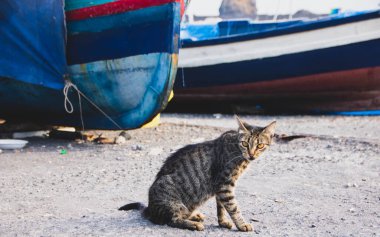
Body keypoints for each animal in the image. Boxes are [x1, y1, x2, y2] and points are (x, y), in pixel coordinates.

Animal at [119, 116, 276, 231]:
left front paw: (223, 222)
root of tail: (150, 209)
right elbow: (233, 207)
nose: (251, 154)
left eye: (260, 145)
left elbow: (221, 208)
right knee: (172, 220)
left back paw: (193, 216)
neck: (238, 153)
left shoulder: (221, 187)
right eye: (245, 144)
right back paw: (193, 224)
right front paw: (242, 225)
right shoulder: (224, 185)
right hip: (169, 195)